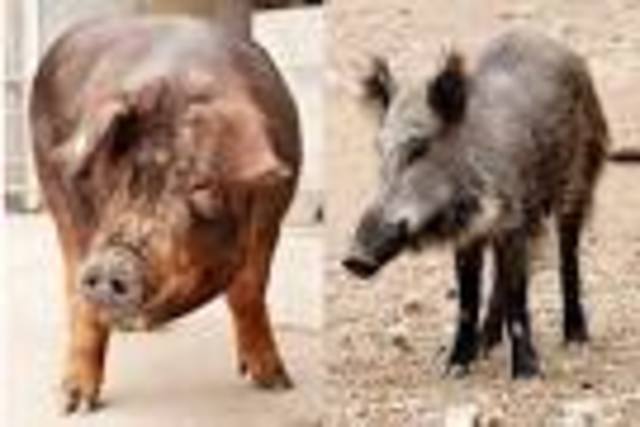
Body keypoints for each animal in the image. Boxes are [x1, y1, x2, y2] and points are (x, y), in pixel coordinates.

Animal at [30, 16, 301, 413]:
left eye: (201, 186)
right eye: (113, 175)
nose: (113, 262)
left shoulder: (273, 212)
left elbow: (249, 291)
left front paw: (277, 383)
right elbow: (84, 305)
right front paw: (73, 405)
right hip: (49, 179)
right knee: (71, 282)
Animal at [342, 30, 609, 379]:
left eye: (419, 148)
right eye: (379, 150)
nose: (353, 259)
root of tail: (563, 49)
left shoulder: (513, 220)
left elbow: (518, 296)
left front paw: (527, 375)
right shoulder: (472, 234)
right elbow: (468, 300)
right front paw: (454, 369)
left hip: (578, 179)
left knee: (568, 256)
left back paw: (576, 339)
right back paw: (486, 345)